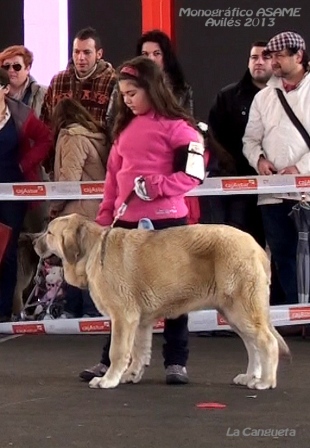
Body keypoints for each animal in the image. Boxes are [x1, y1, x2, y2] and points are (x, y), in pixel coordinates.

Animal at [35, 214, 290, 388]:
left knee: (267, 342)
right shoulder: (140, 321)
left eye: (49, 233)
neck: (93, 250)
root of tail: (256, 246)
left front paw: (108, 380)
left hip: (242, 308)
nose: (32, 242)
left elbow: (118, 351)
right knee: (253, 345)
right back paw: (249, 376)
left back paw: (265, 381)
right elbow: (139, 351)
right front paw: (131, 375)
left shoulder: (123, 317)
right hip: (233, 312)